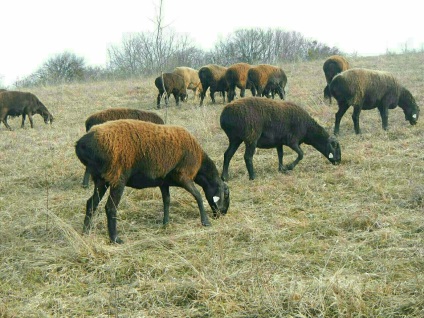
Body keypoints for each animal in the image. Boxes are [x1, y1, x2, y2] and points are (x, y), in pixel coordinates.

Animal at [74, 119, 230, 243]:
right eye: (226, 194)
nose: (223, 214)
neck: (199, 164)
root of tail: (81, 144)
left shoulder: (163, 182)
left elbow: (166, 200)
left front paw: (165, 223)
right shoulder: (183, 176)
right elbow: (198, 196)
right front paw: (205, 222)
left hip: (101, 180)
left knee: (91, 203)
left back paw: (85, 233)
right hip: (117, 178)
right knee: (110, 208)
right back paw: (115, 239)